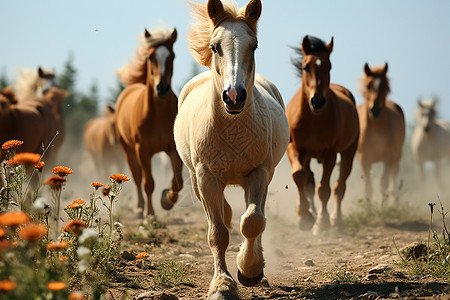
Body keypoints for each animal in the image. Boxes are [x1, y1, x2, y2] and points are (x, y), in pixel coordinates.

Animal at [115, 27, 184, 217]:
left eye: (172, 56)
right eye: (150, 57)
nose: (162, 88)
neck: (157, 113)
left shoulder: (173, 149)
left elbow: (178, 182)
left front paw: (166, 200)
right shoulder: (143, 150)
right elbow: (148, 183)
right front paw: (150, 213)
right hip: (128, 150)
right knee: (137, 177)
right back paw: (139, 209)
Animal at [174, 0, 290, 298]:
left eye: (254, 46)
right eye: (215, 46)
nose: (234, 96)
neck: (232, 128)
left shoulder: (258, 173)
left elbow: (252, 221)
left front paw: (249, 271)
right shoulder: (206, 178)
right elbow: (218, 233)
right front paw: (222, 284)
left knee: (255, 217)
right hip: (196, 180)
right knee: (223, 215)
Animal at [288, 35, 358, 234]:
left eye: (329, 66)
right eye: (305, 66)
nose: (317, 101)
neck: (313, 119)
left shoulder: (330, 154)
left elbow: (324, 189)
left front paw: (321, 222)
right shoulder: (294, 147)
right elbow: (299, 176)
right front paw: (304, 216)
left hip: (348, 153)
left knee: (339, 186)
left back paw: (336, 219)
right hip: (307, 155)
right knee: (308, 181)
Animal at [356, 63, 406, 203]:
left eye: (384, 86)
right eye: (368, 86)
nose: (375, 109)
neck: (376, 130)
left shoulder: (389, 157)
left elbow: (383, 183)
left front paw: (382, 206)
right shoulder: (364, 158)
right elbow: (368, 186)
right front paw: (367, 207)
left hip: (396, 157)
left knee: (393, 178)